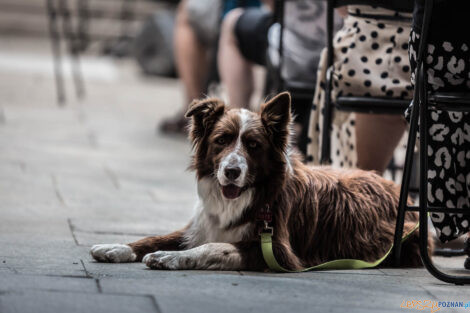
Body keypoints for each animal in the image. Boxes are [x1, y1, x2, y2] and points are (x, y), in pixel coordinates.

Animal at [90, 91, 424, 270]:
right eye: (222, 141)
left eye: (253, 145)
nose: (232, 172)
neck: (244, 197)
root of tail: (397, 188)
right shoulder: (198, 227)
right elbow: (153, 238)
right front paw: (116, 247)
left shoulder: (278, 250)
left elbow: (215, 247)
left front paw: (171, 257)